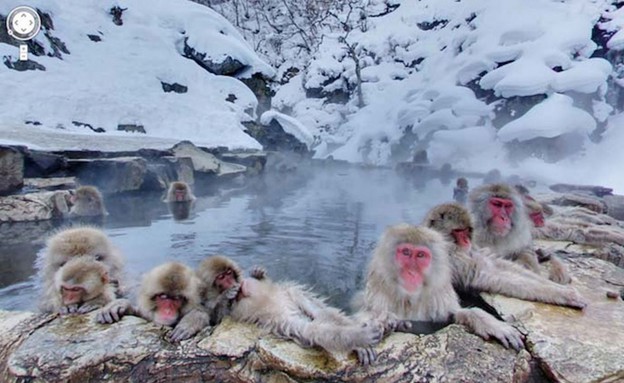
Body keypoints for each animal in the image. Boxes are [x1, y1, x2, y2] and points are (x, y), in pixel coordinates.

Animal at [354, 225, 524, 354]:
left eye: (421, 255)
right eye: (406, 252)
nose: (411, 273)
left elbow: (453, 316)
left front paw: (492, 324)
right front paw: (362, 337)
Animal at [422, 204, 588, 308]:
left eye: (467, 230)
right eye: (458, 231)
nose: (466, 240)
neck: (451, 246)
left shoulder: (469, 250)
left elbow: (497, 264)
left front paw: (558, 287)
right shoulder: (451, 259)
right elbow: (489, 275)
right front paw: (562, 294)